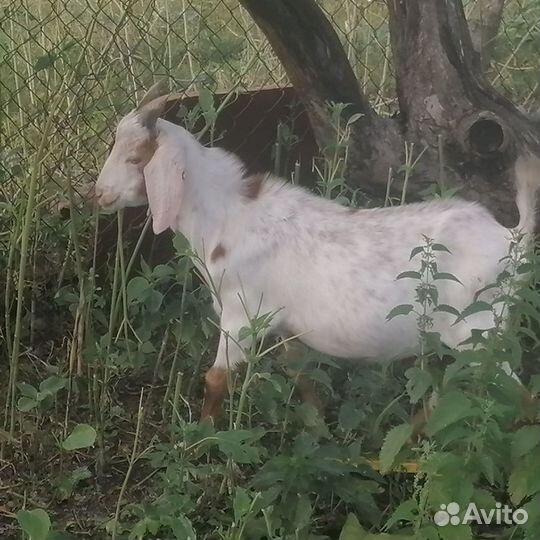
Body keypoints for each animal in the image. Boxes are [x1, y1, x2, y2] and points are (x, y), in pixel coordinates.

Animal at [95, 83, 536, 422]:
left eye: (135, 157)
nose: (96, 194)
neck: (225, 215)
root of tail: (511, 237)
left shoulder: (241, 315)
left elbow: (216, 380)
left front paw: (201, 439)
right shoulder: (283, 323)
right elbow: (300, 373)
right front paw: (317, 425)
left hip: (477, 328)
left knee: (518, 396)